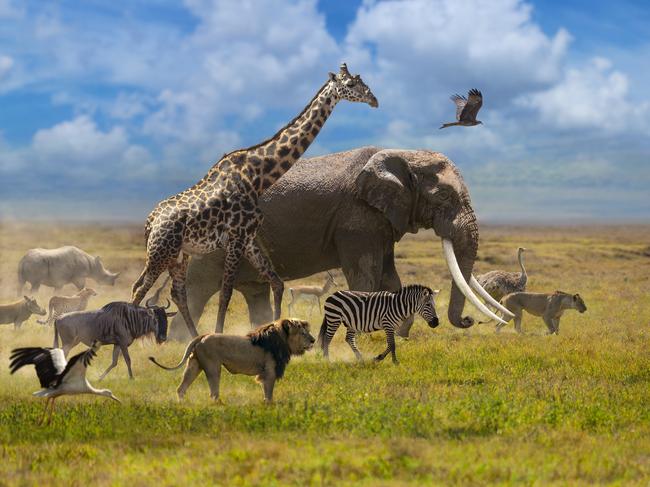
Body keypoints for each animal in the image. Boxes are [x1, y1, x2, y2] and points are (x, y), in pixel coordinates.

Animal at [131, 63, 378, 338]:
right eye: (350, 84)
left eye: (362, 81)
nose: (374, 100)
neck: (258, 175)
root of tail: (150, 221)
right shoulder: (236, 237)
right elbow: (226, 293)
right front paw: (219, 334)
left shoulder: (249, 238)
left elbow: (276, 282)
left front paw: (278, 325)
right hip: (162, 250)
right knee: (140, 287)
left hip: (178, 254)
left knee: (176, 292)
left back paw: (193, 337)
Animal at [150, 318, 316, 402]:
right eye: (303, 333)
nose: (313, 340)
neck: (283, 340)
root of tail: (202, 336)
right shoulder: (269, 373)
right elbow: (269, 395)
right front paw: (269, 408)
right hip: (213, 368)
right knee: (214, 393)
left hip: (194, 366)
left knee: (181, 389)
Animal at [171, 146, 506, 340]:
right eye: (445, 197)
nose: (468, 321)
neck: (403, 154)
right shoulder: (356, 219)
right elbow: (366, 276)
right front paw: (369, 335)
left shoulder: (381, 220)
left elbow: (389, 277)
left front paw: (400, 333)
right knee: (196, 289)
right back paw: (179, 343)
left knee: (255, 295)